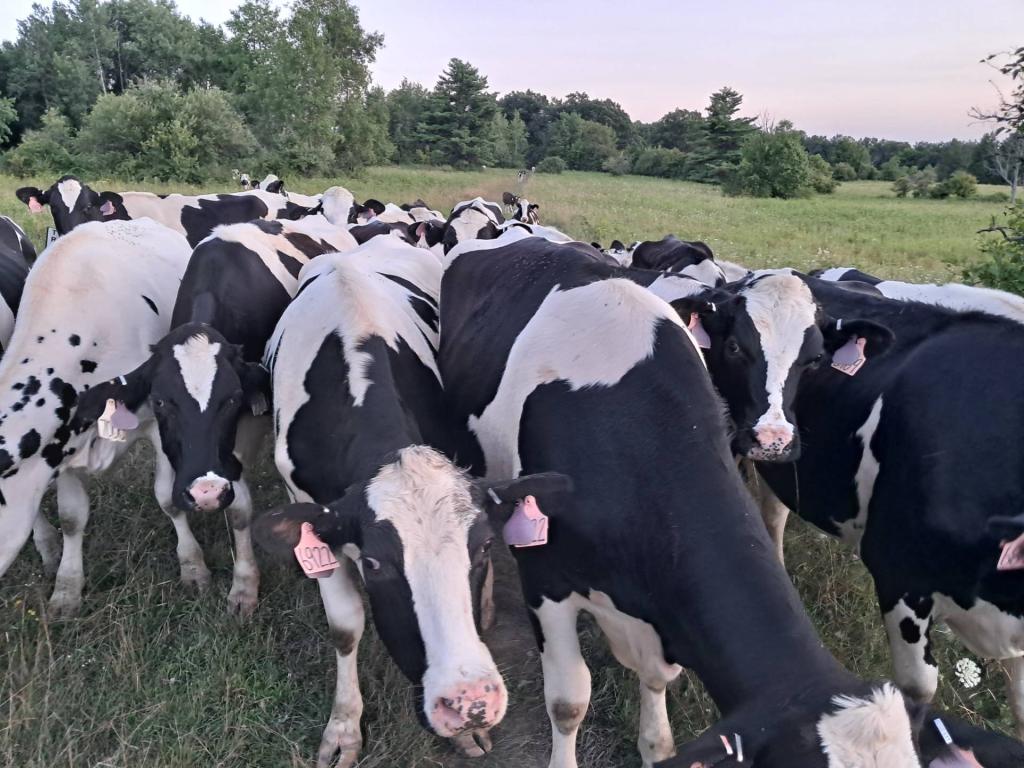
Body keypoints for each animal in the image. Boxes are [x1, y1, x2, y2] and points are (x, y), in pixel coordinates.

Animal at [0, 219, 190, 617]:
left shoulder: (160, 423)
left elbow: (168, 498)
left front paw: (193, 567)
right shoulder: (62, 446)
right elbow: (72, 518)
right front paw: (67, 589)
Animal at [69, 217, 358, 616]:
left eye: (232, 399)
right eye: (161, 402)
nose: (204, 493)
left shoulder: (250, 422)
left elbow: (239, 509)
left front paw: (244, 586)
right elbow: (168, 496)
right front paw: (193, 568)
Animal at [252, 236, 542, 767]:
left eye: (482, 548)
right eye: (374, 563)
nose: (471, 704)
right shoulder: (310, 510)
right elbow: (345, 626)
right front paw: (344, 727)